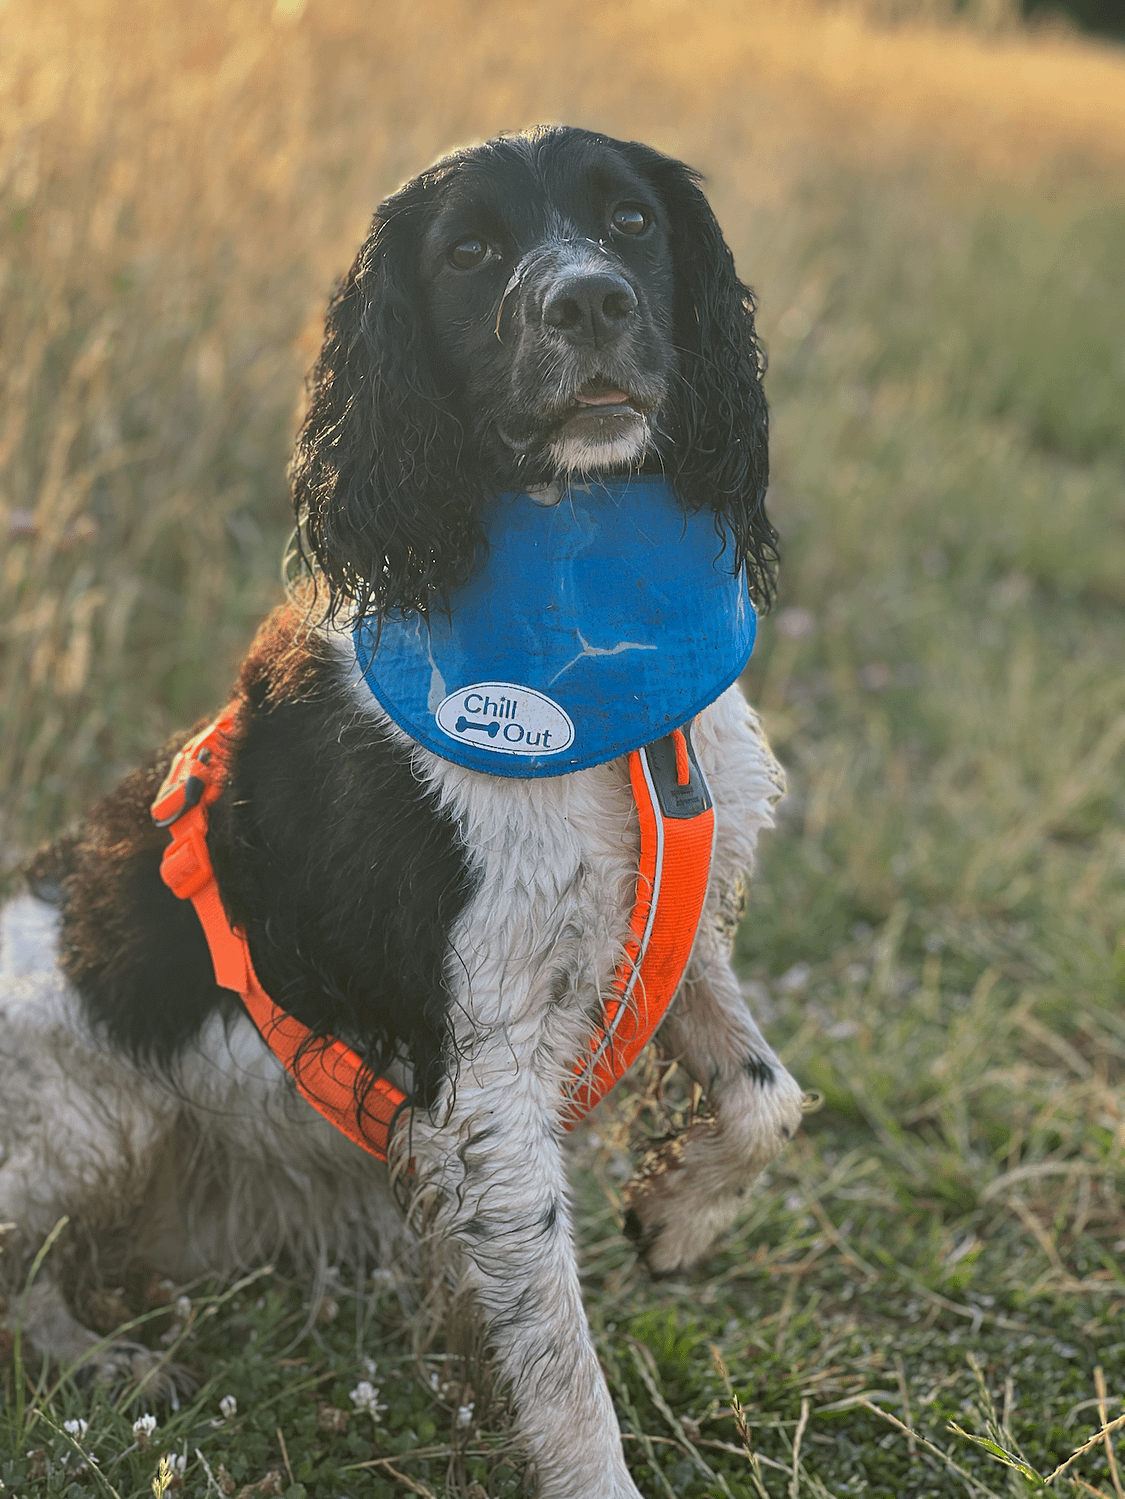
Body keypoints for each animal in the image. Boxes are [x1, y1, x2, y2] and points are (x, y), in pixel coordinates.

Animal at [2, 128, 808, 1499]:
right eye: (470, 250)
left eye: (633, 221)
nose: (589, 301)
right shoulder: (487, 1084)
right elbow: (565, 1374)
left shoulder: (672, 931)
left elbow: (766, 1094)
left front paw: (677, 1213)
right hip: (87, 1105)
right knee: (20, 1278)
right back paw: (102, 1360)